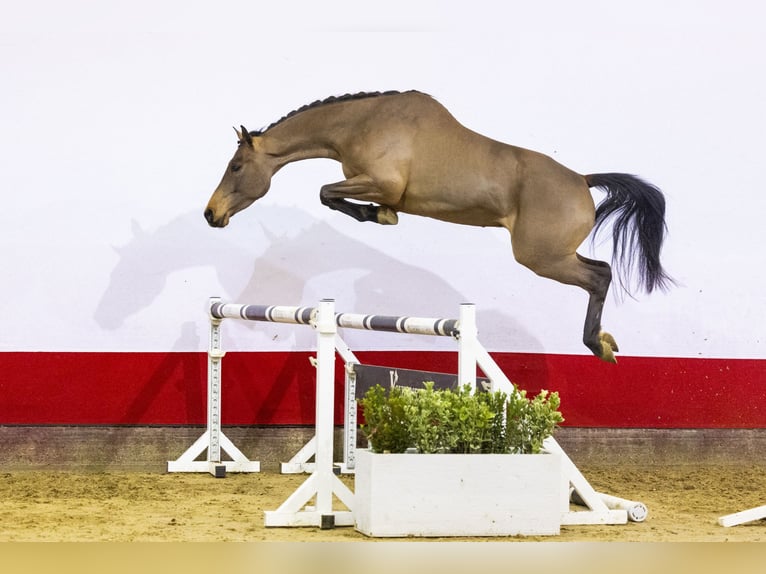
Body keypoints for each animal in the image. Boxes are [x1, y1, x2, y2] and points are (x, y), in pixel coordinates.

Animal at [204, 89, 672, 364]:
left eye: (236, 166)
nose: (211, 213)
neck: (362, 123)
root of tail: (582, 180)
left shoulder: (381, 182)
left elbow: (327, 192)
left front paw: (380, 215)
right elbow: (330, 194)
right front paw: (380, 215)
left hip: (543, 258)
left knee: (600, 275)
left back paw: (599, 344)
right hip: (552, 256)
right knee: (600, 272)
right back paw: (602, 342)